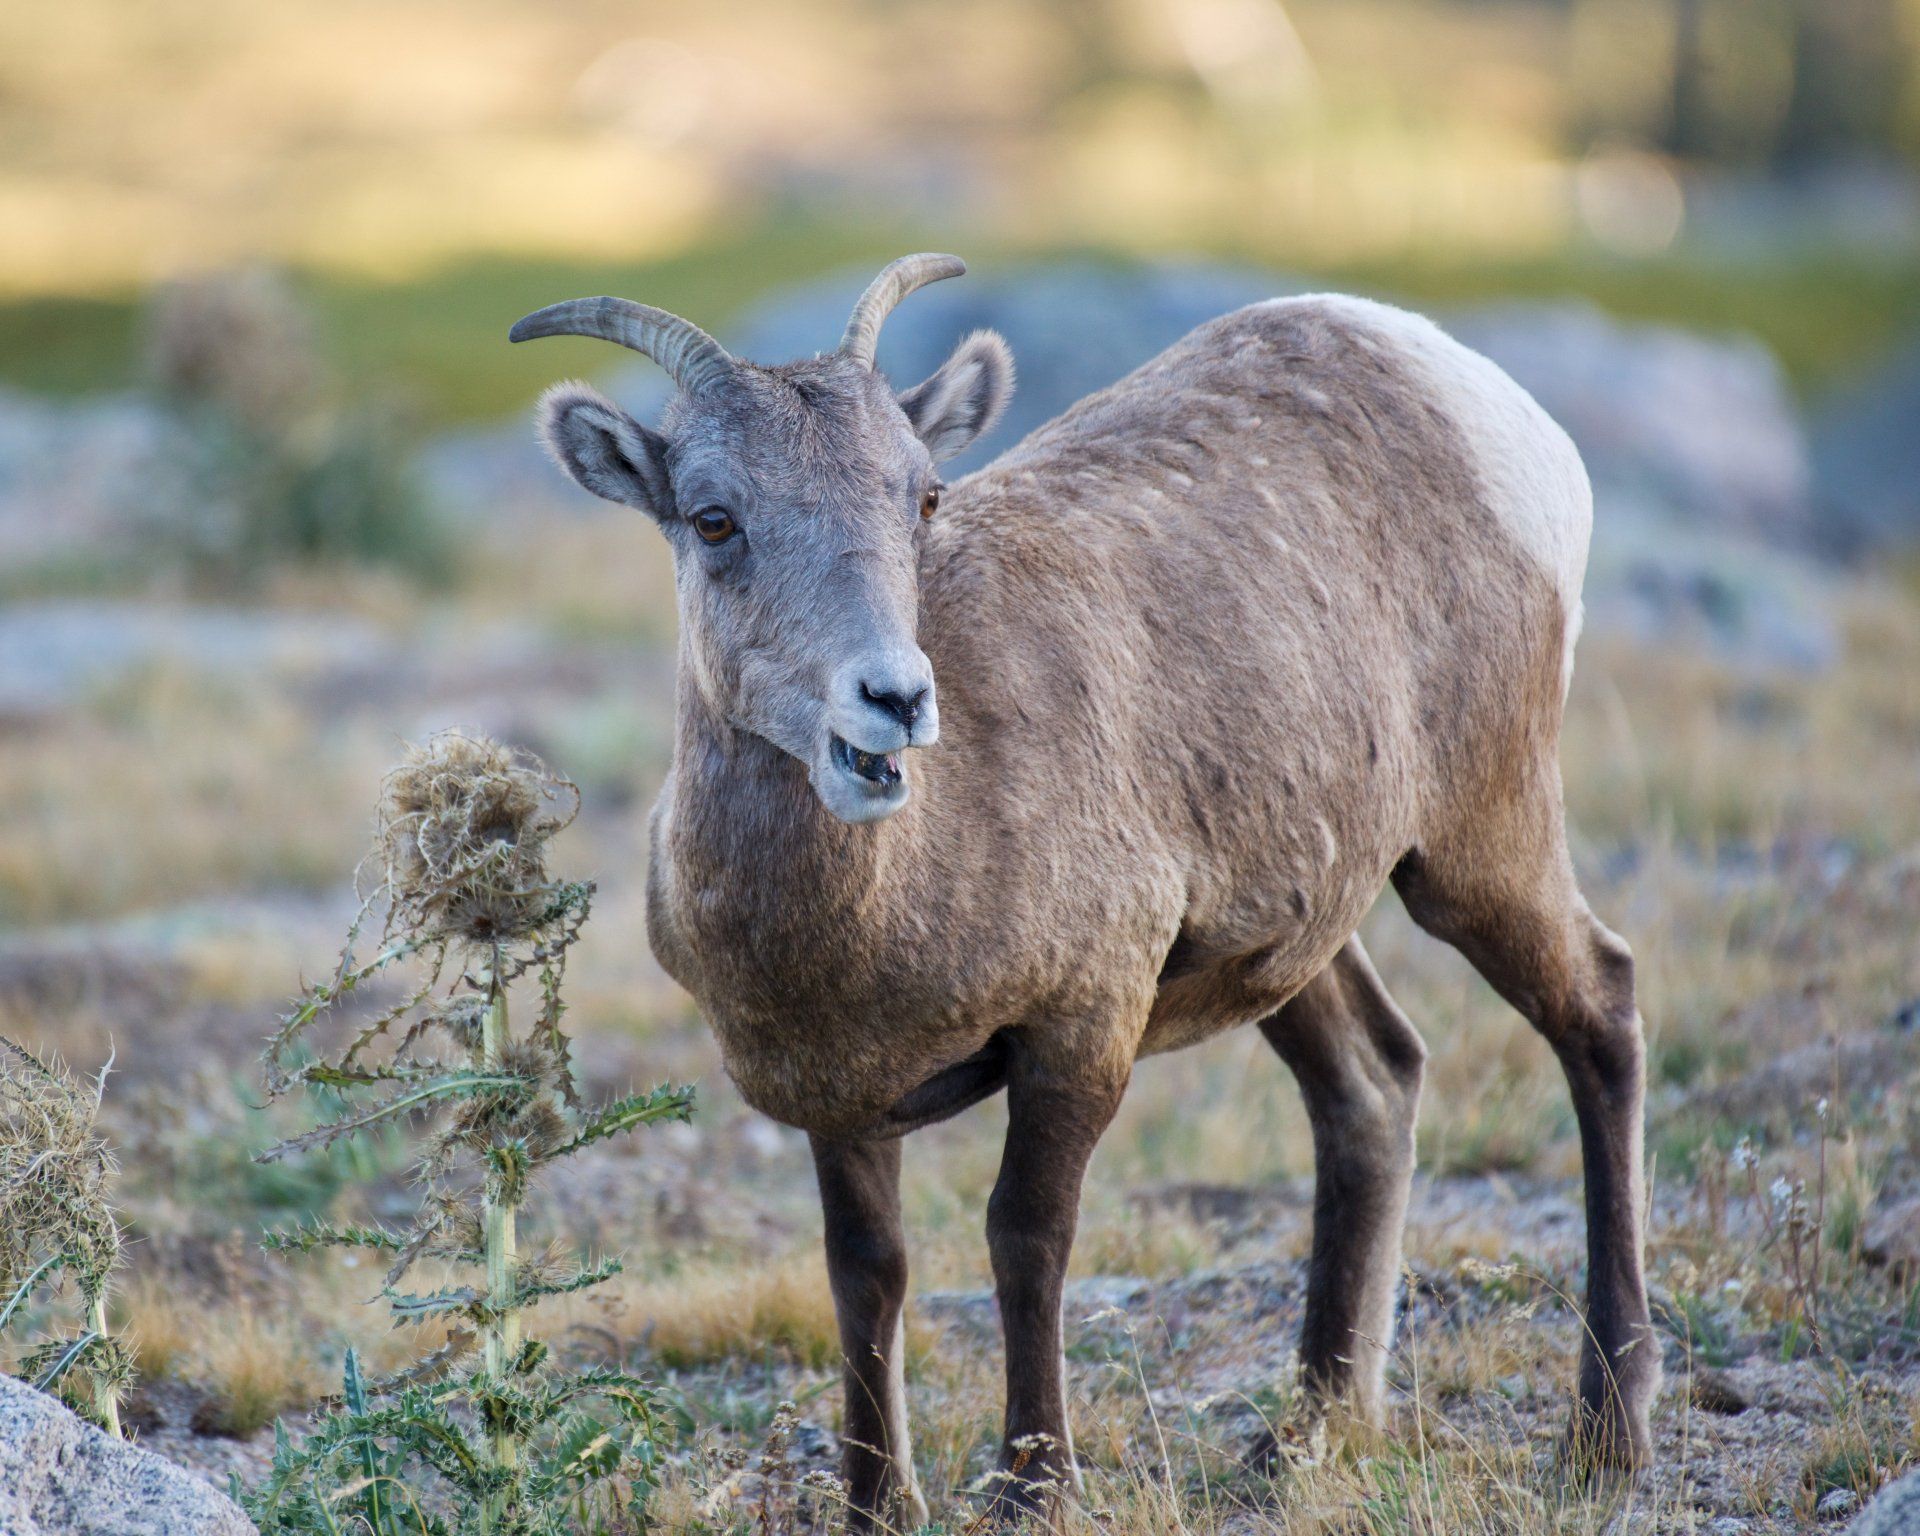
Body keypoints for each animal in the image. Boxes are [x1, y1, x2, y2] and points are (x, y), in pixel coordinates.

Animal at [510, 255, 1657, 1523]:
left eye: (921, 499)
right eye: (714, 519)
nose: (894, 701)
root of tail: (1466, 385)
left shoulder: (1079, 1033)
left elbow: (1026, 1241)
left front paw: (1034, 1490)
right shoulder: (841, 1096)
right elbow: (867, 1276)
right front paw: (877, 1506)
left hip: (1474, 846)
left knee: (1599, 1012)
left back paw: (1606, 1436)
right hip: (1295, 938)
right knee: (1374, 1082)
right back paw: (1309, 1432)